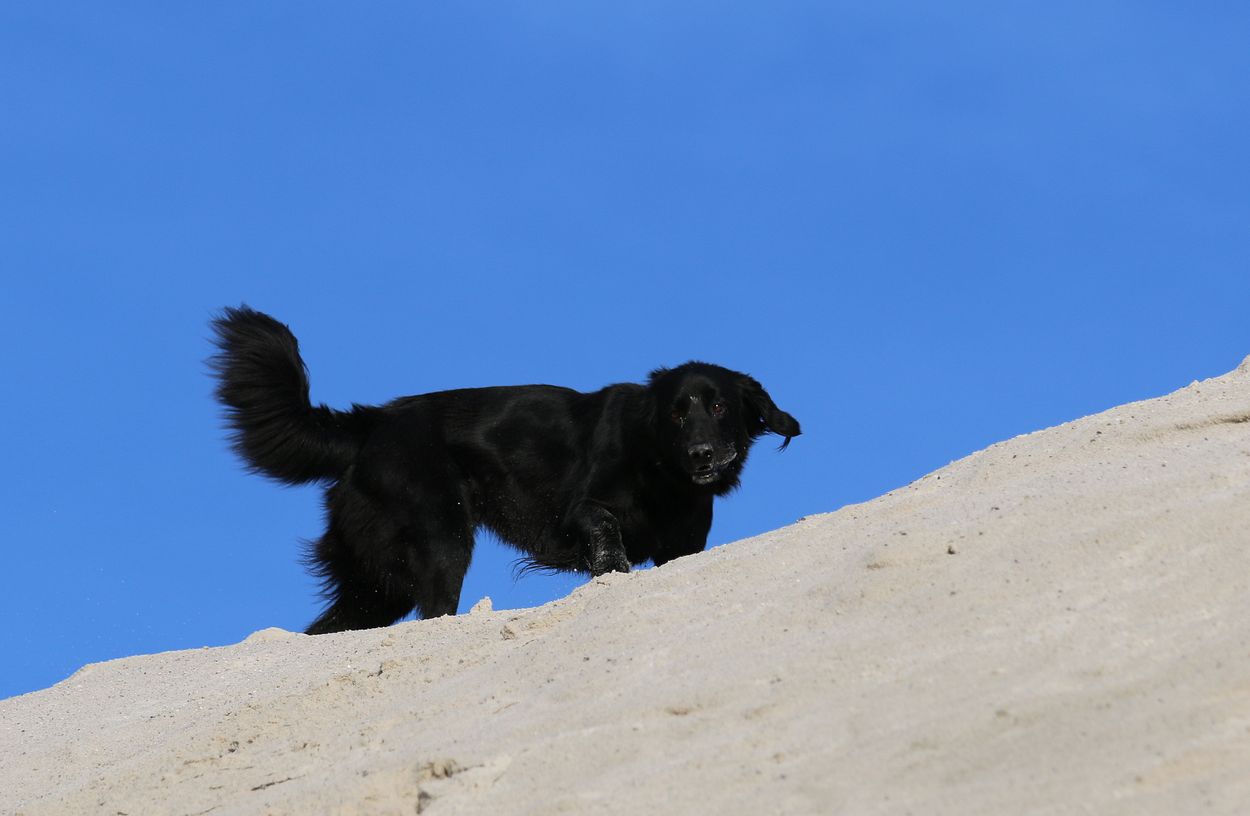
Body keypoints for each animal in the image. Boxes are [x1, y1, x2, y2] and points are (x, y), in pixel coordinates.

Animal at [209, 306, 801, 634]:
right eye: (677, 414)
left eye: (719, 406)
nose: (702, 454)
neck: (663, 472)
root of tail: (372, 425)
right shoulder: (580, 510)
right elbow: (607, 533)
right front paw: (612, 573)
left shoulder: (684, 547)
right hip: (441, 539)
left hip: (378, 582)